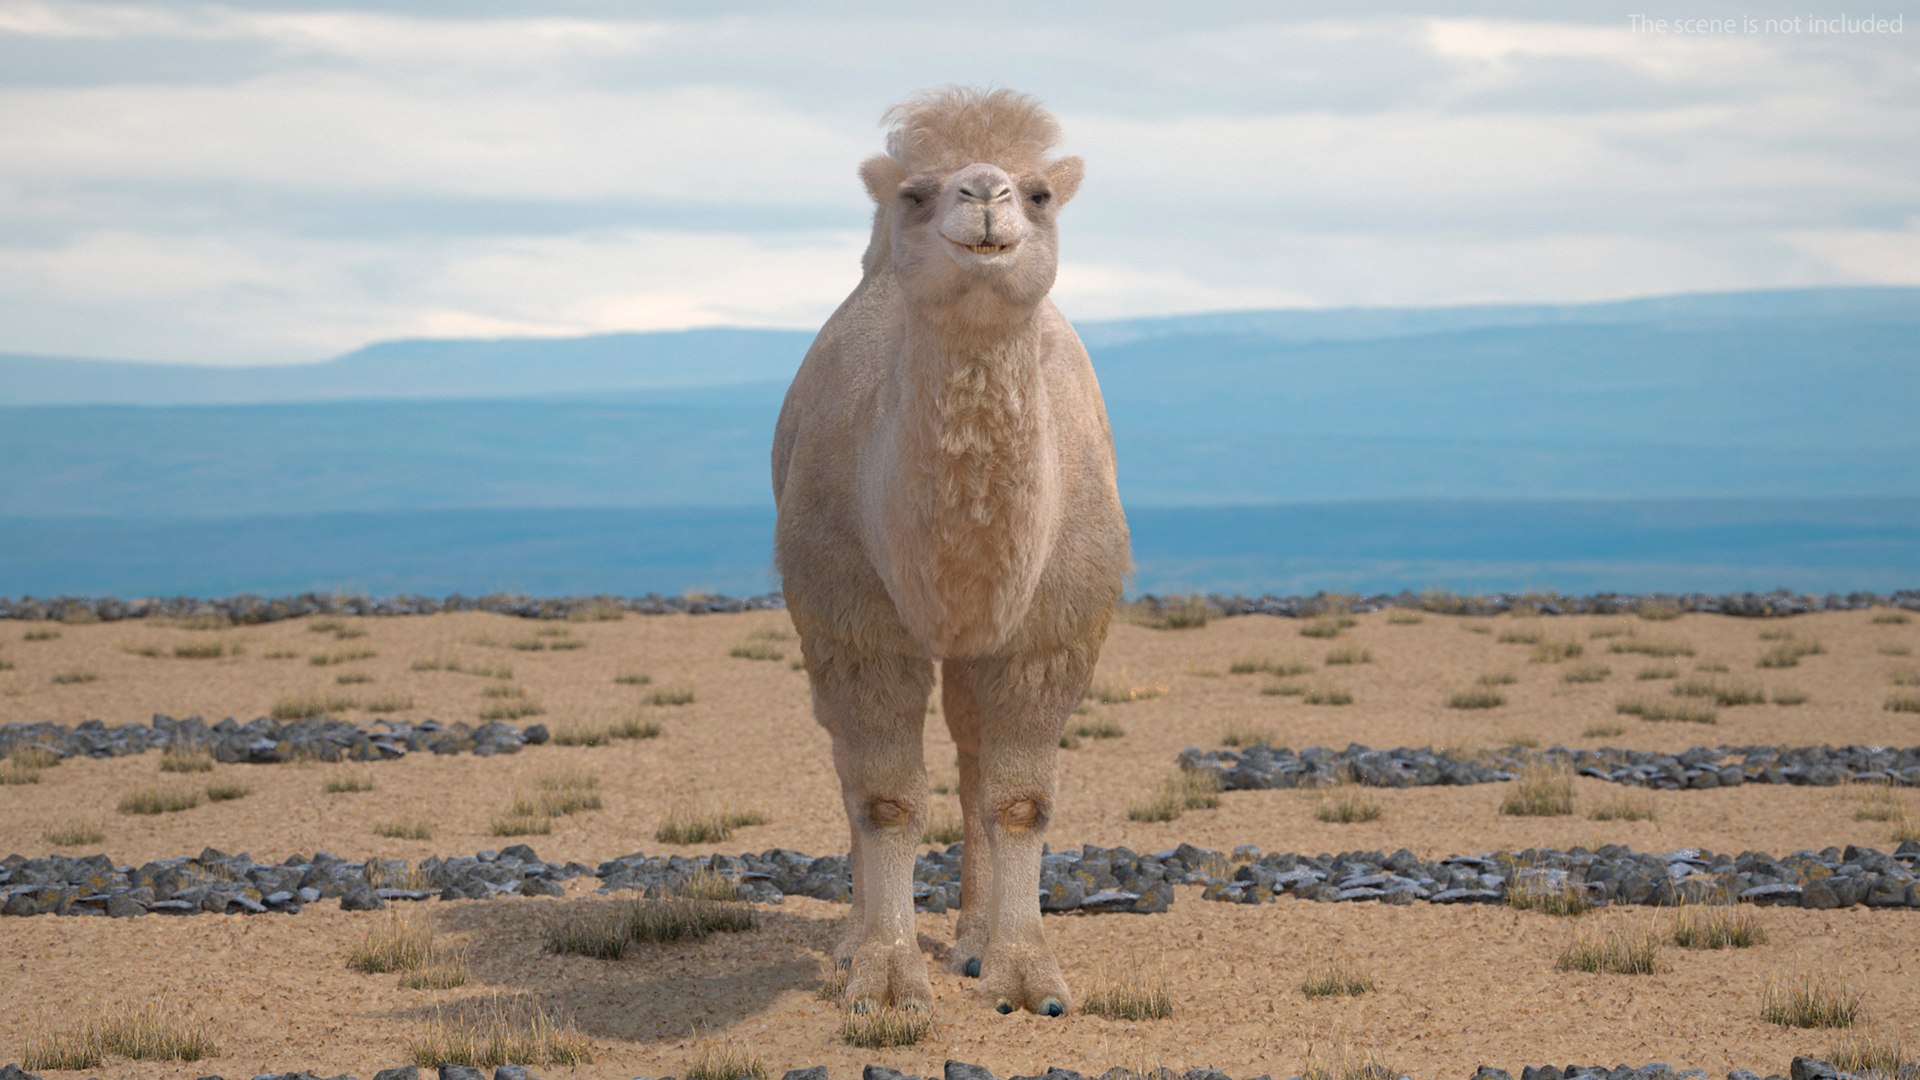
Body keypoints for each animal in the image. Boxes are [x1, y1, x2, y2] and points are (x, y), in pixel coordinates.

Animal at [771, 86, 1129, 1017]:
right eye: (916, 193)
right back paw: (852, 938)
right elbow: (885, 800)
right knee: (848, 768)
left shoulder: (1049, 632)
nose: (985, 196)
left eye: (1039, 193)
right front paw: (885, 975)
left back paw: (970, 939)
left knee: (972, 762)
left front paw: (1025, 976)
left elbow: (1019, 802)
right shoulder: (850, 619)